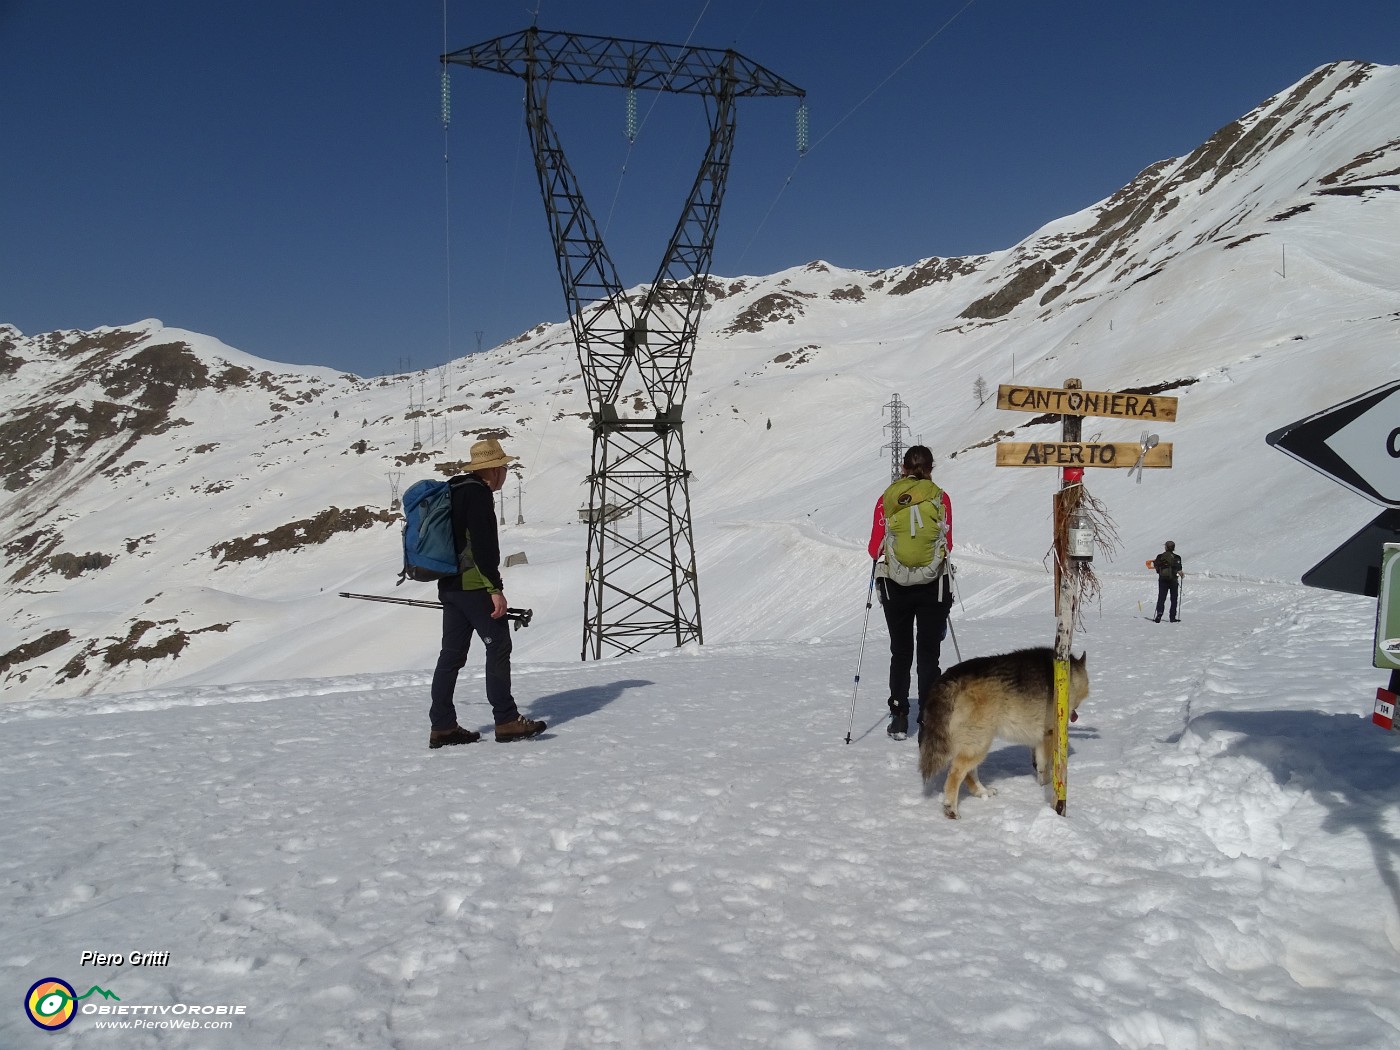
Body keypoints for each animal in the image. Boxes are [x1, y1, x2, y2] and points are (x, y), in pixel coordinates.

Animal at [918, 649, 1092, 823]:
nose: (1074, 716)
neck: (1070, 677)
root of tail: (949, 678)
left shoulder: (1037, 741)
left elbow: (1039, 765)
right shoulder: (1048, 736)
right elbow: (1045, 769)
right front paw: (1048, 789)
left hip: (975, 743)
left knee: (969, 773)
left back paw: (983, 792)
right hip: (979, 742)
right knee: (955, 774)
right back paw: (951, 809)